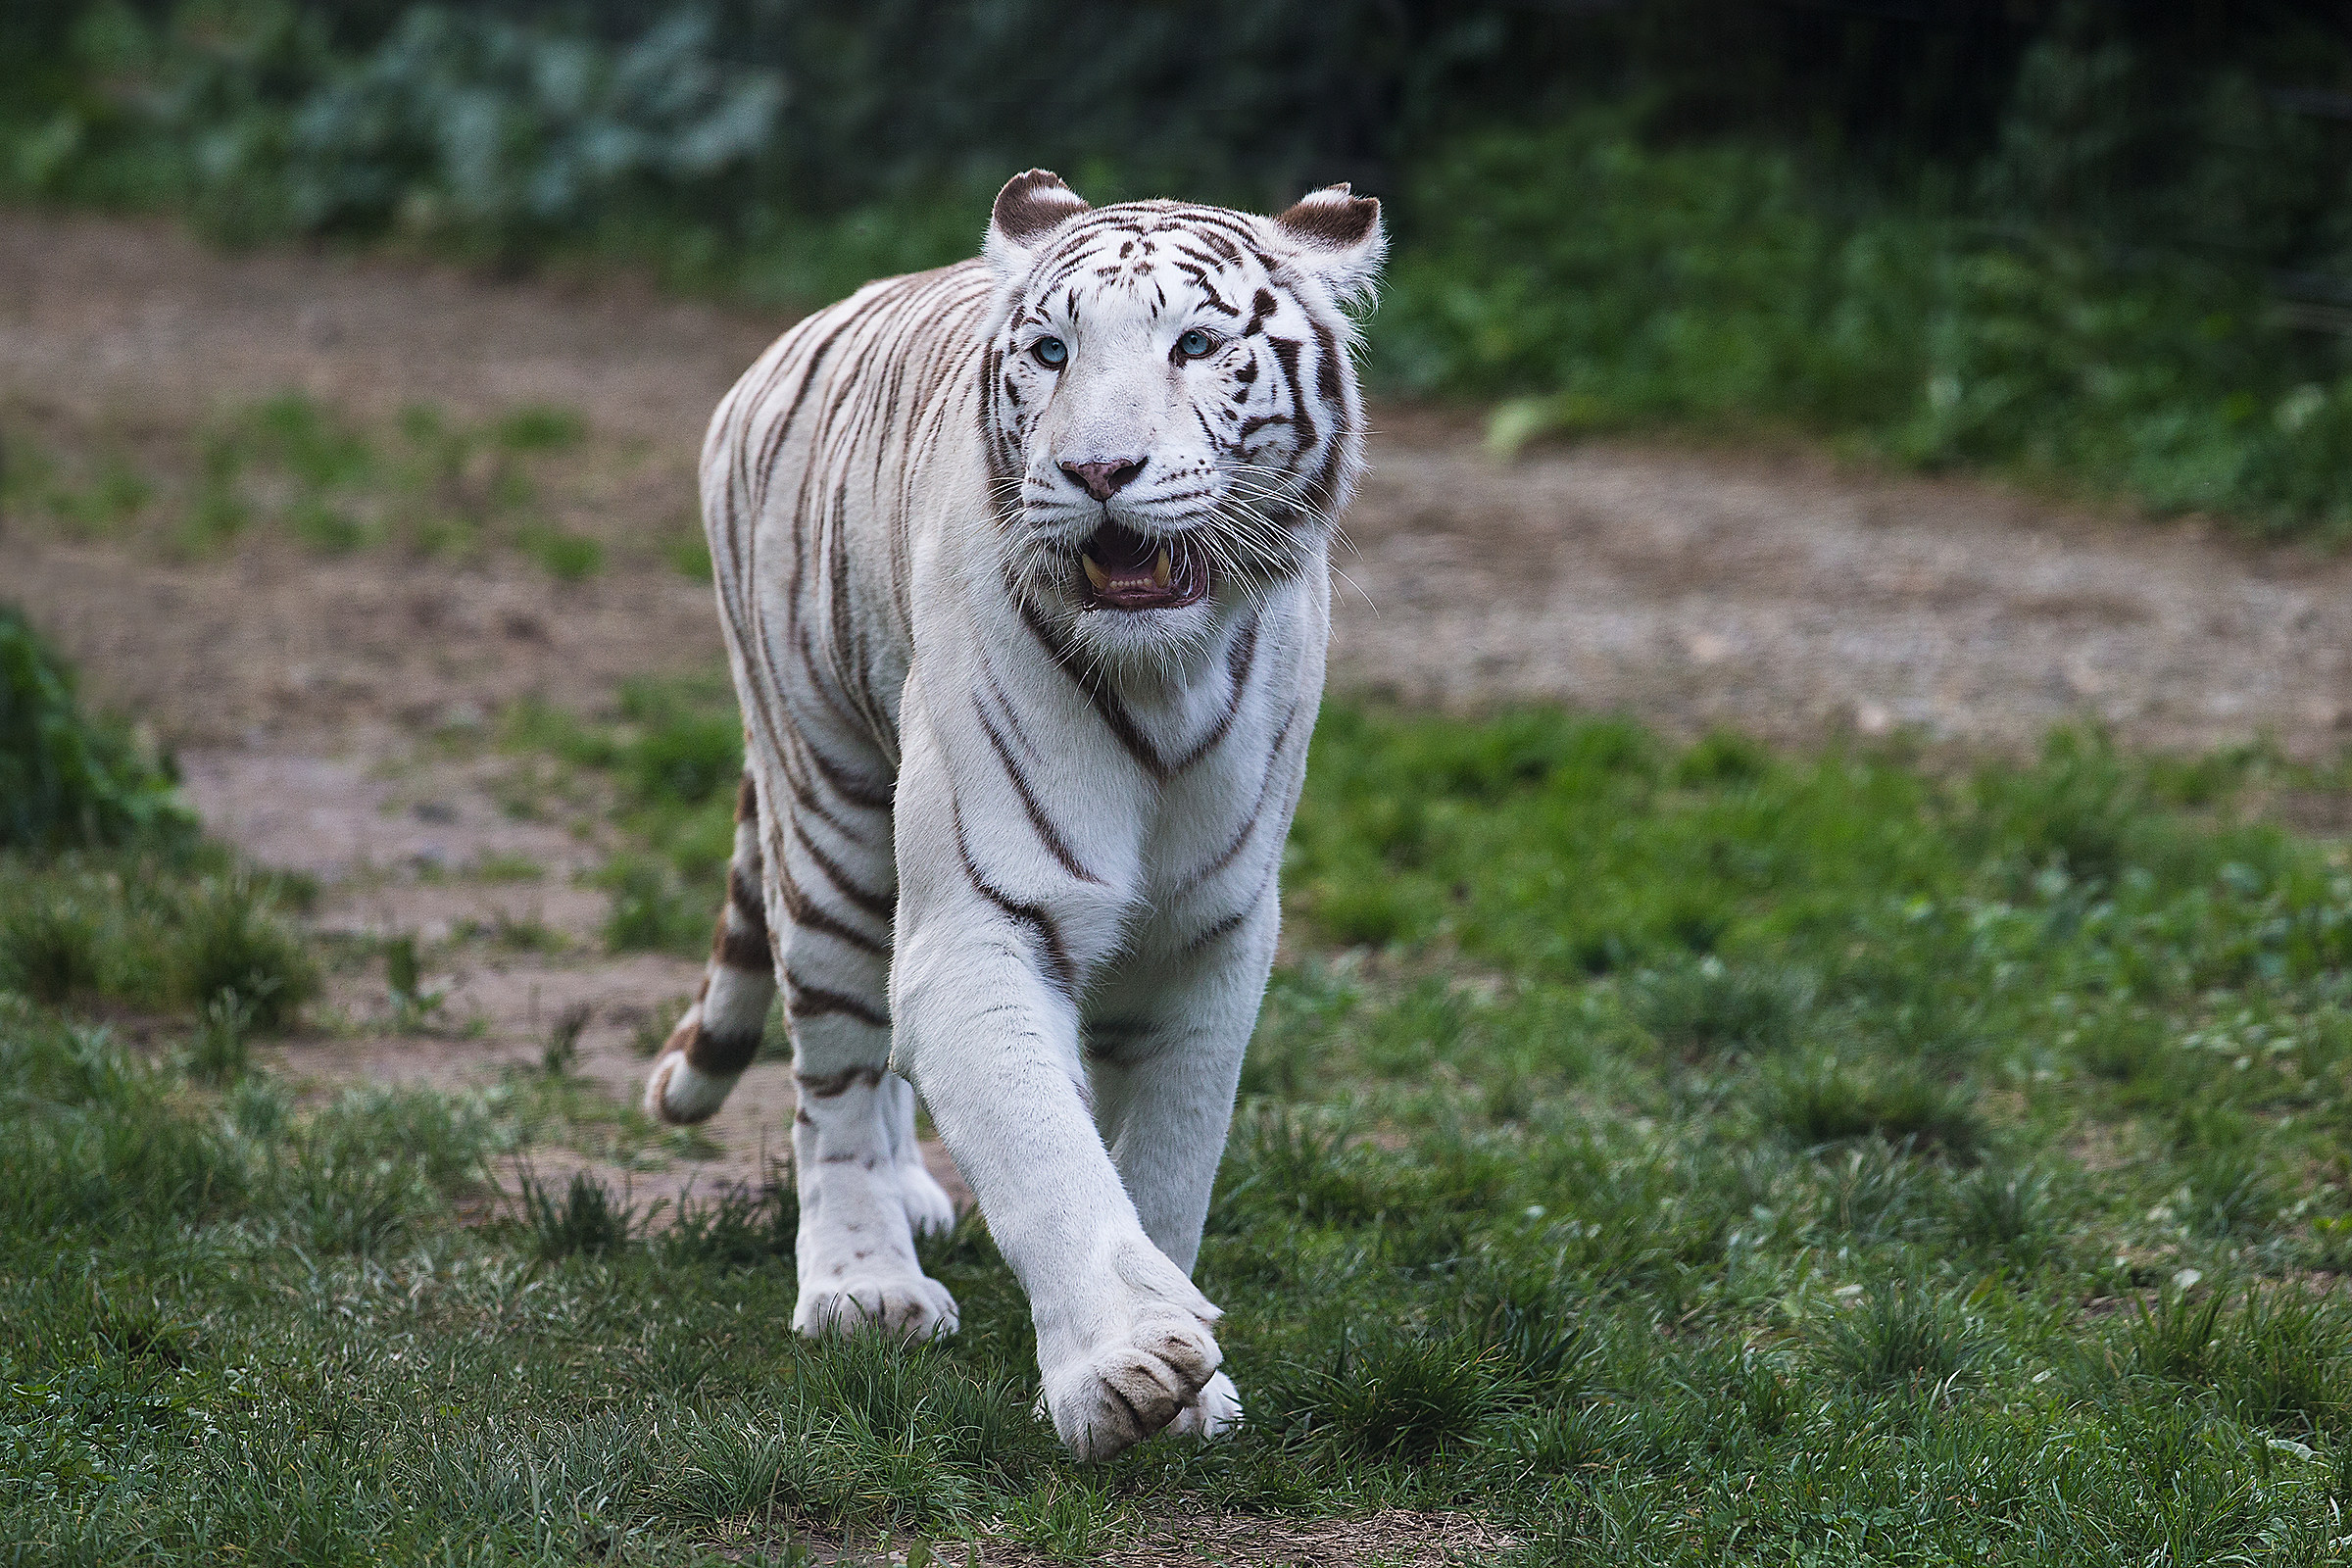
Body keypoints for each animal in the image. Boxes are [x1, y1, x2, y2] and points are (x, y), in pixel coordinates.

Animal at [641, 169, 1383, 1461]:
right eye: (1050, 351)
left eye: (1197, 345)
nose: (1099, 469)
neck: (1166, 678)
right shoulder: (982, 921)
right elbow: (1045, 1152)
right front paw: (1126, 1364)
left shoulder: (1212, 936)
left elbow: (1168, 1161)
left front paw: (1193, 1380)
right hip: (829, 809)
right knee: (833, 1074)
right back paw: (864, 1281)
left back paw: (914, 1197)